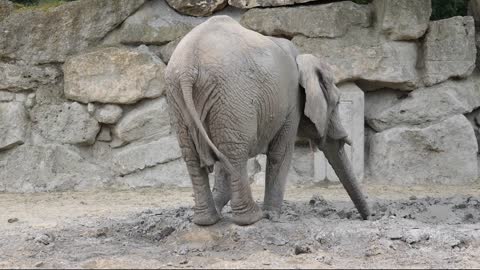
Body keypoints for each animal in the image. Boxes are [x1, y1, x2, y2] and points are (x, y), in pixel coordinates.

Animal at [165, 14, 372, 226]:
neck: (303, 58)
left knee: (194, 155)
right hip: (232, 97)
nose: (370, 217)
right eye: (337, 103)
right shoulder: (292, 103)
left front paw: (220, 207)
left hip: (180, 99)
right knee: (234, 153)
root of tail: (188, 67)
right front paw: (272, 216)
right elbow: (281, 153)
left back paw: (206, 220)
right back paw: (251, 218)